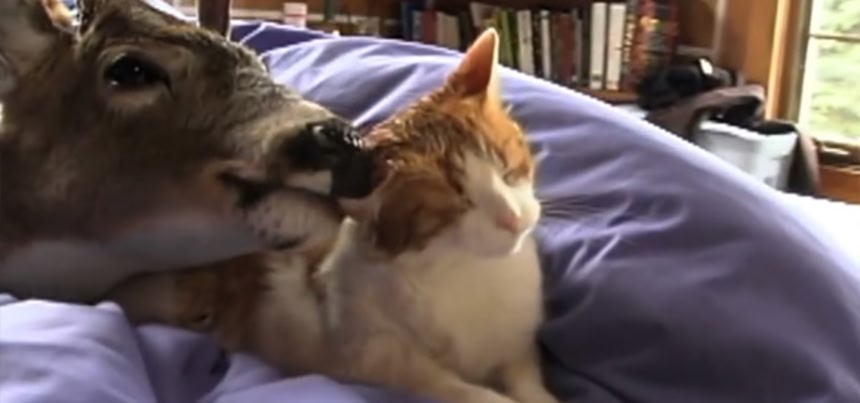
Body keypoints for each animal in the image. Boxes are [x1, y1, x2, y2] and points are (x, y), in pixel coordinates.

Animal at [106, 28, 557, 403]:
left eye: (507, 167)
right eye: (456, 201)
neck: (467, 272)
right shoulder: (362, 348)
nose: (514, 219)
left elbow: (524, 372)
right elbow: (444, 384)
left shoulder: (516, 339)